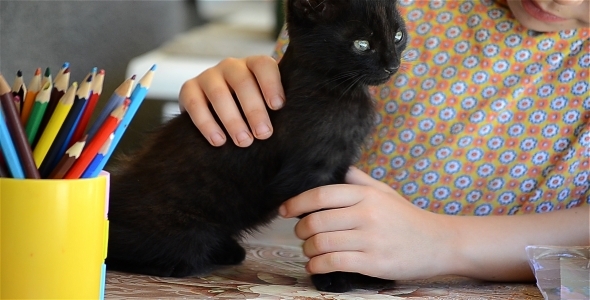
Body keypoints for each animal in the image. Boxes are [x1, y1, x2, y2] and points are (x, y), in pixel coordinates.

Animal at [106, 0, 410, 292]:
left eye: (397, 36)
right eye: (362, 44)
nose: (392, 65)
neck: (338, 91)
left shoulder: (337, 169)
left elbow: (339, 218)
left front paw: (366, 274)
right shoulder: (307, 177)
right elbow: (323, 223)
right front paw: (334, 277)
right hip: (188, 236)